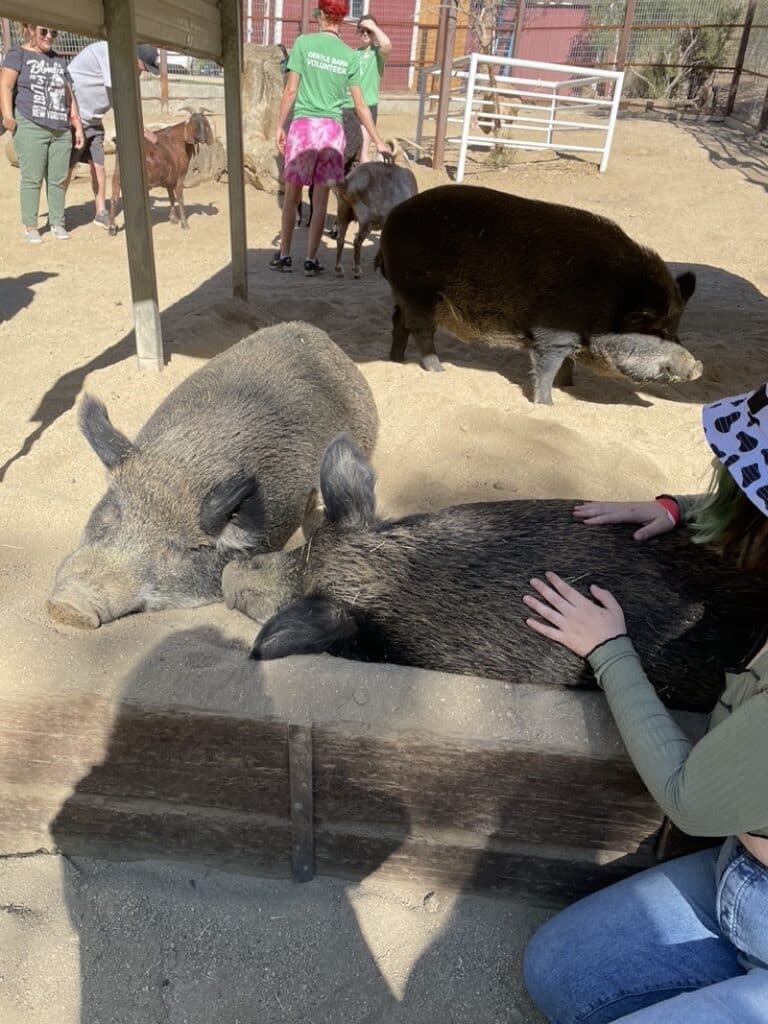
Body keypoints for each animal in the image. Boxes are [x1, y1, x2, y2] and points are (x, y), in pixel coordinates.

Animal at [376, 186, 704, 401]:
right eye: (657, 331)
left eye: (676, 329)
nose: (698, 367)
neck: (609, 300)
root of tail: (393, 216)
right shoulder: (553, 334)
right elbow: (547, 367)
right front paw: (546, 403)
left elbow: (567, 366)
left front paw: (569, 389)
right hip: (417, 289)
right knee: (421, 330)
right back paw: (438, 370)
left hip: (404, 292)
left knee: (398, 323)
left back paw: (396, 362)